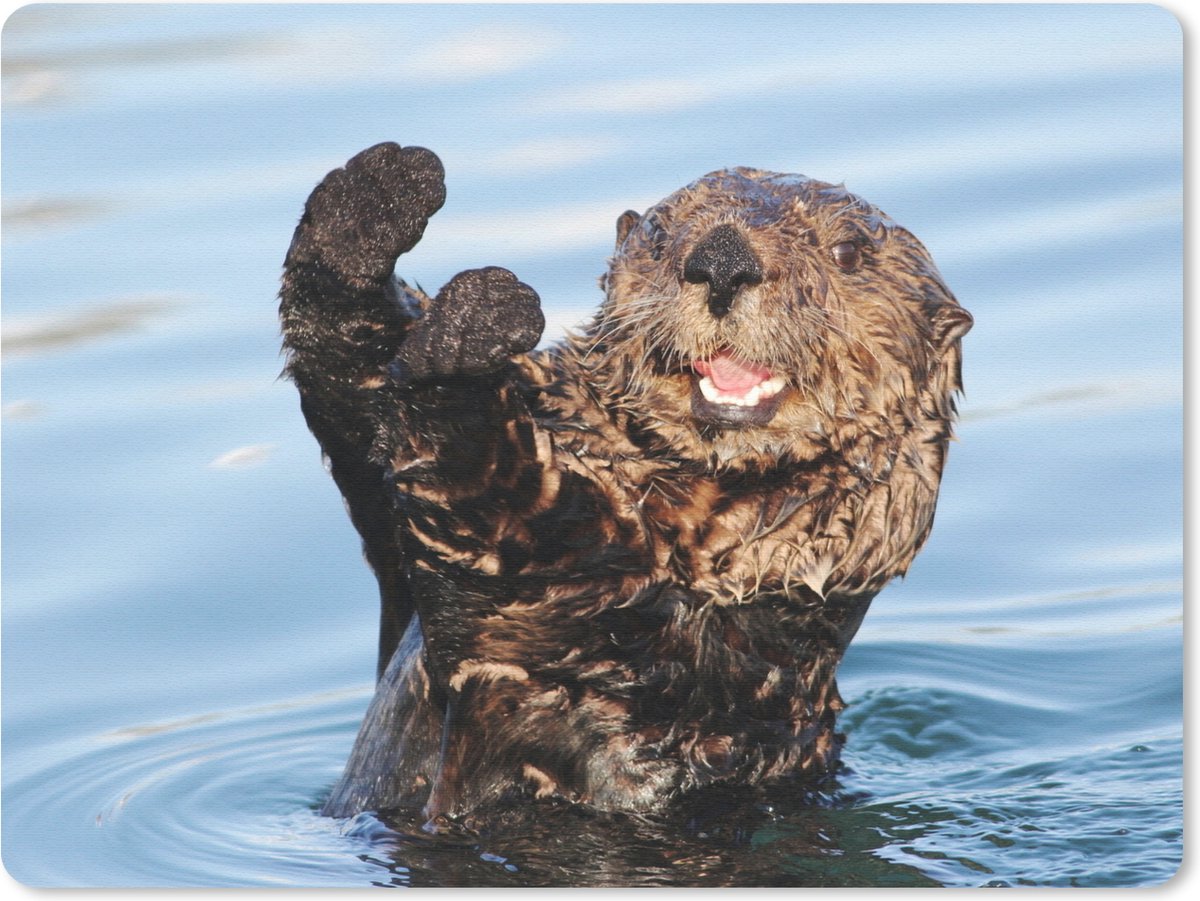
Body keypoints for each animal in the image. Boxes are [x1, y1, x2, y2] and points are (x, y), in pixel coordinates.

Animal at [279, 143, 971, 824]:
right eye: (661, 237)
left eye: (847, 252)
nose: (722, 261)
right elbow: (359, 408)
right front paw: (374, 200)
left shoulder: (606, 633)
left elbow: (501, 512)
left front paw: (468, 335)